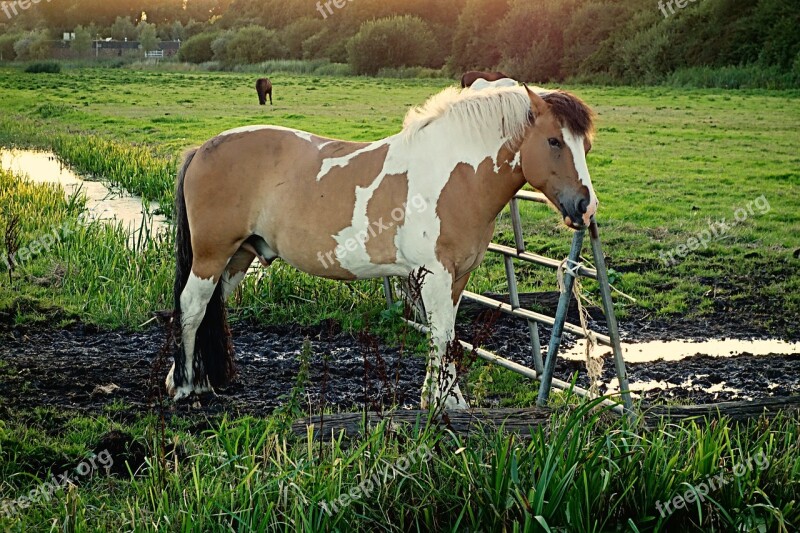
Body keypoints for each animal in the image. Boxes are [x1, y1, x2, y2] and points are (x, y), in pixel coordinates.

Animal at [166, 82, 596, 408]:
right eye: (554, 141)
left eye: (586, 147)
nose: (585, 206)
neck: (454, 176)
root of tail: (202, 149)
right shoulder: (435, 275)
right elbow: (443, 335)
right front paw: (442, 401)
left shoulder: (456, 279)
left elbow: (446, 335)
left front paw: (443, 399)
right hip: (212, 255)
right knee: (192, 306)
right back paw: (186, 388)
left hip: (239, 256)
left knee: (209, 307)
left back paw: (196, 379)